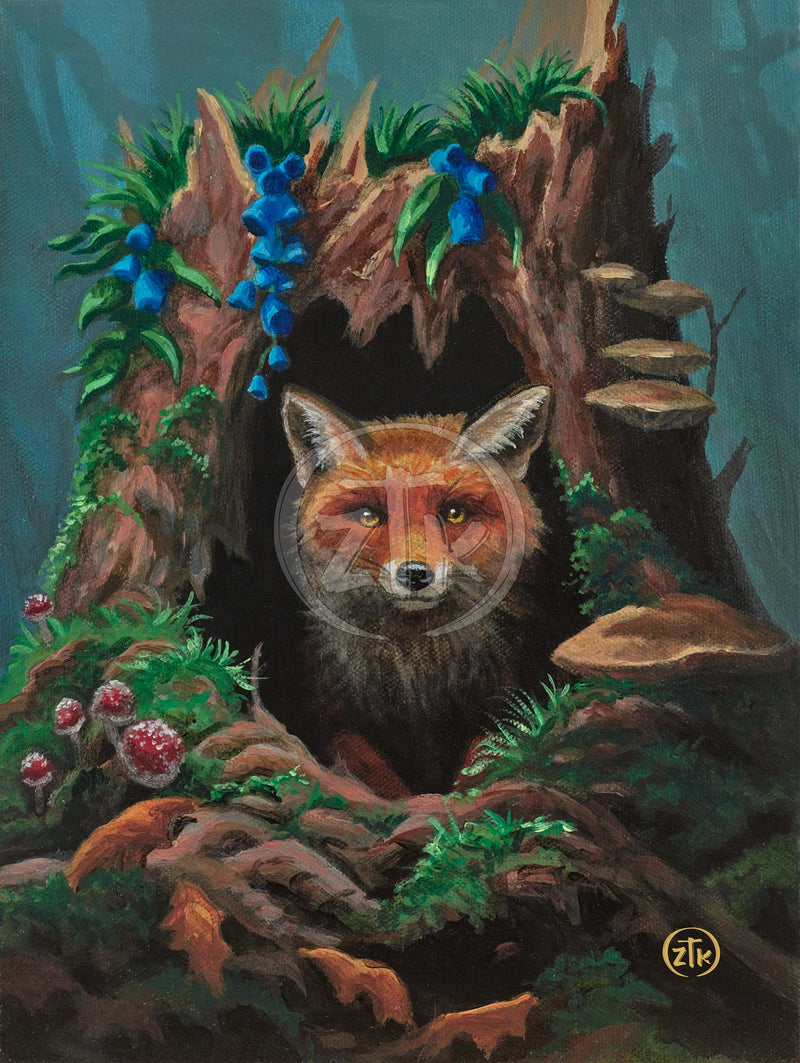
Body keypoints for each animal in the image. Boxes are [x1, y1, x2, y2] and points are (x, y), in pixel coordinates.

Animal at [279, 384, 555, 795]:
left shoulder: (501, 705)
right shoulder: (337, 720)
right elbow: (374, 774)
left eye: (453, 514)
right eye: (369, 516)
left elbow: (479, 765)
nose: (415, 575)